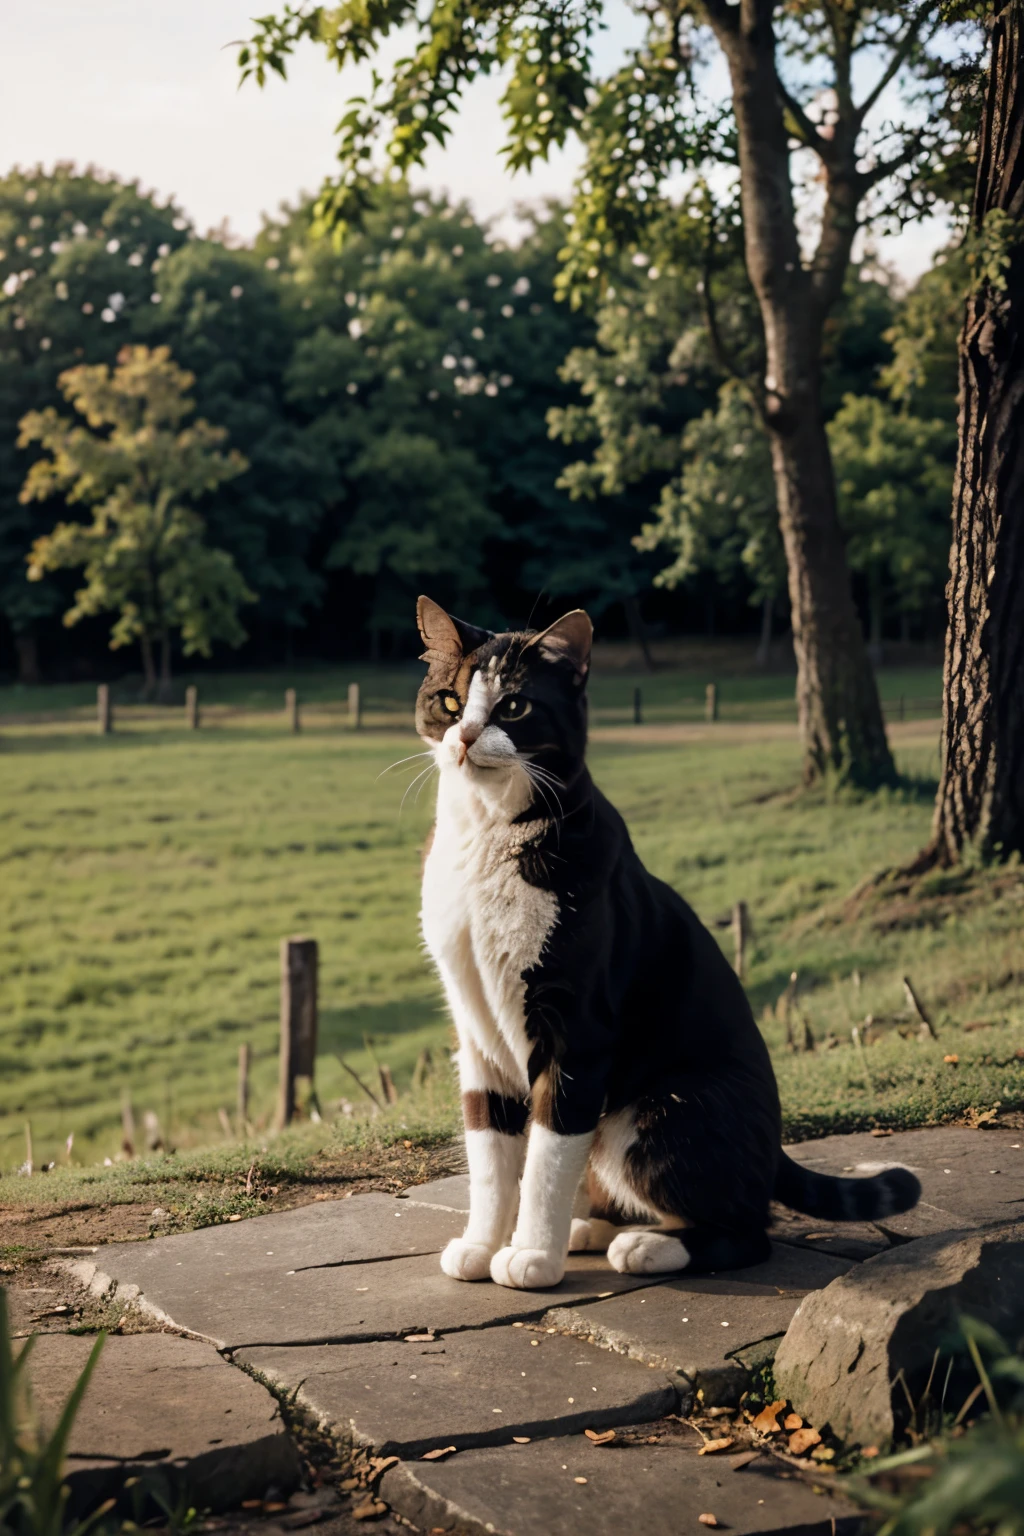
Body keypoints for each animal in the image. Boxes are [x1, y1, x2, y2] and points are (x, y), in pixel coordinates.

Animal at [411, 592, 927, 1290]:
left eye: (514, 706)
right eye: (449, 700)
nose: (465, 736)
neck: (486, 840)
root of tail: (777, 1149)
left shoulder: (577, 1029)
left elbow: (546, 1157)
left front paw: (532, 1257)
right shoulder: (476, 1033)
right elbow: (490, 1154)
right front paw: (481, 1244)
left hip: (659, 1110)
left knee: (747, 1229)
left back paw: (642, 1247)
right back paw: (593, 1229)